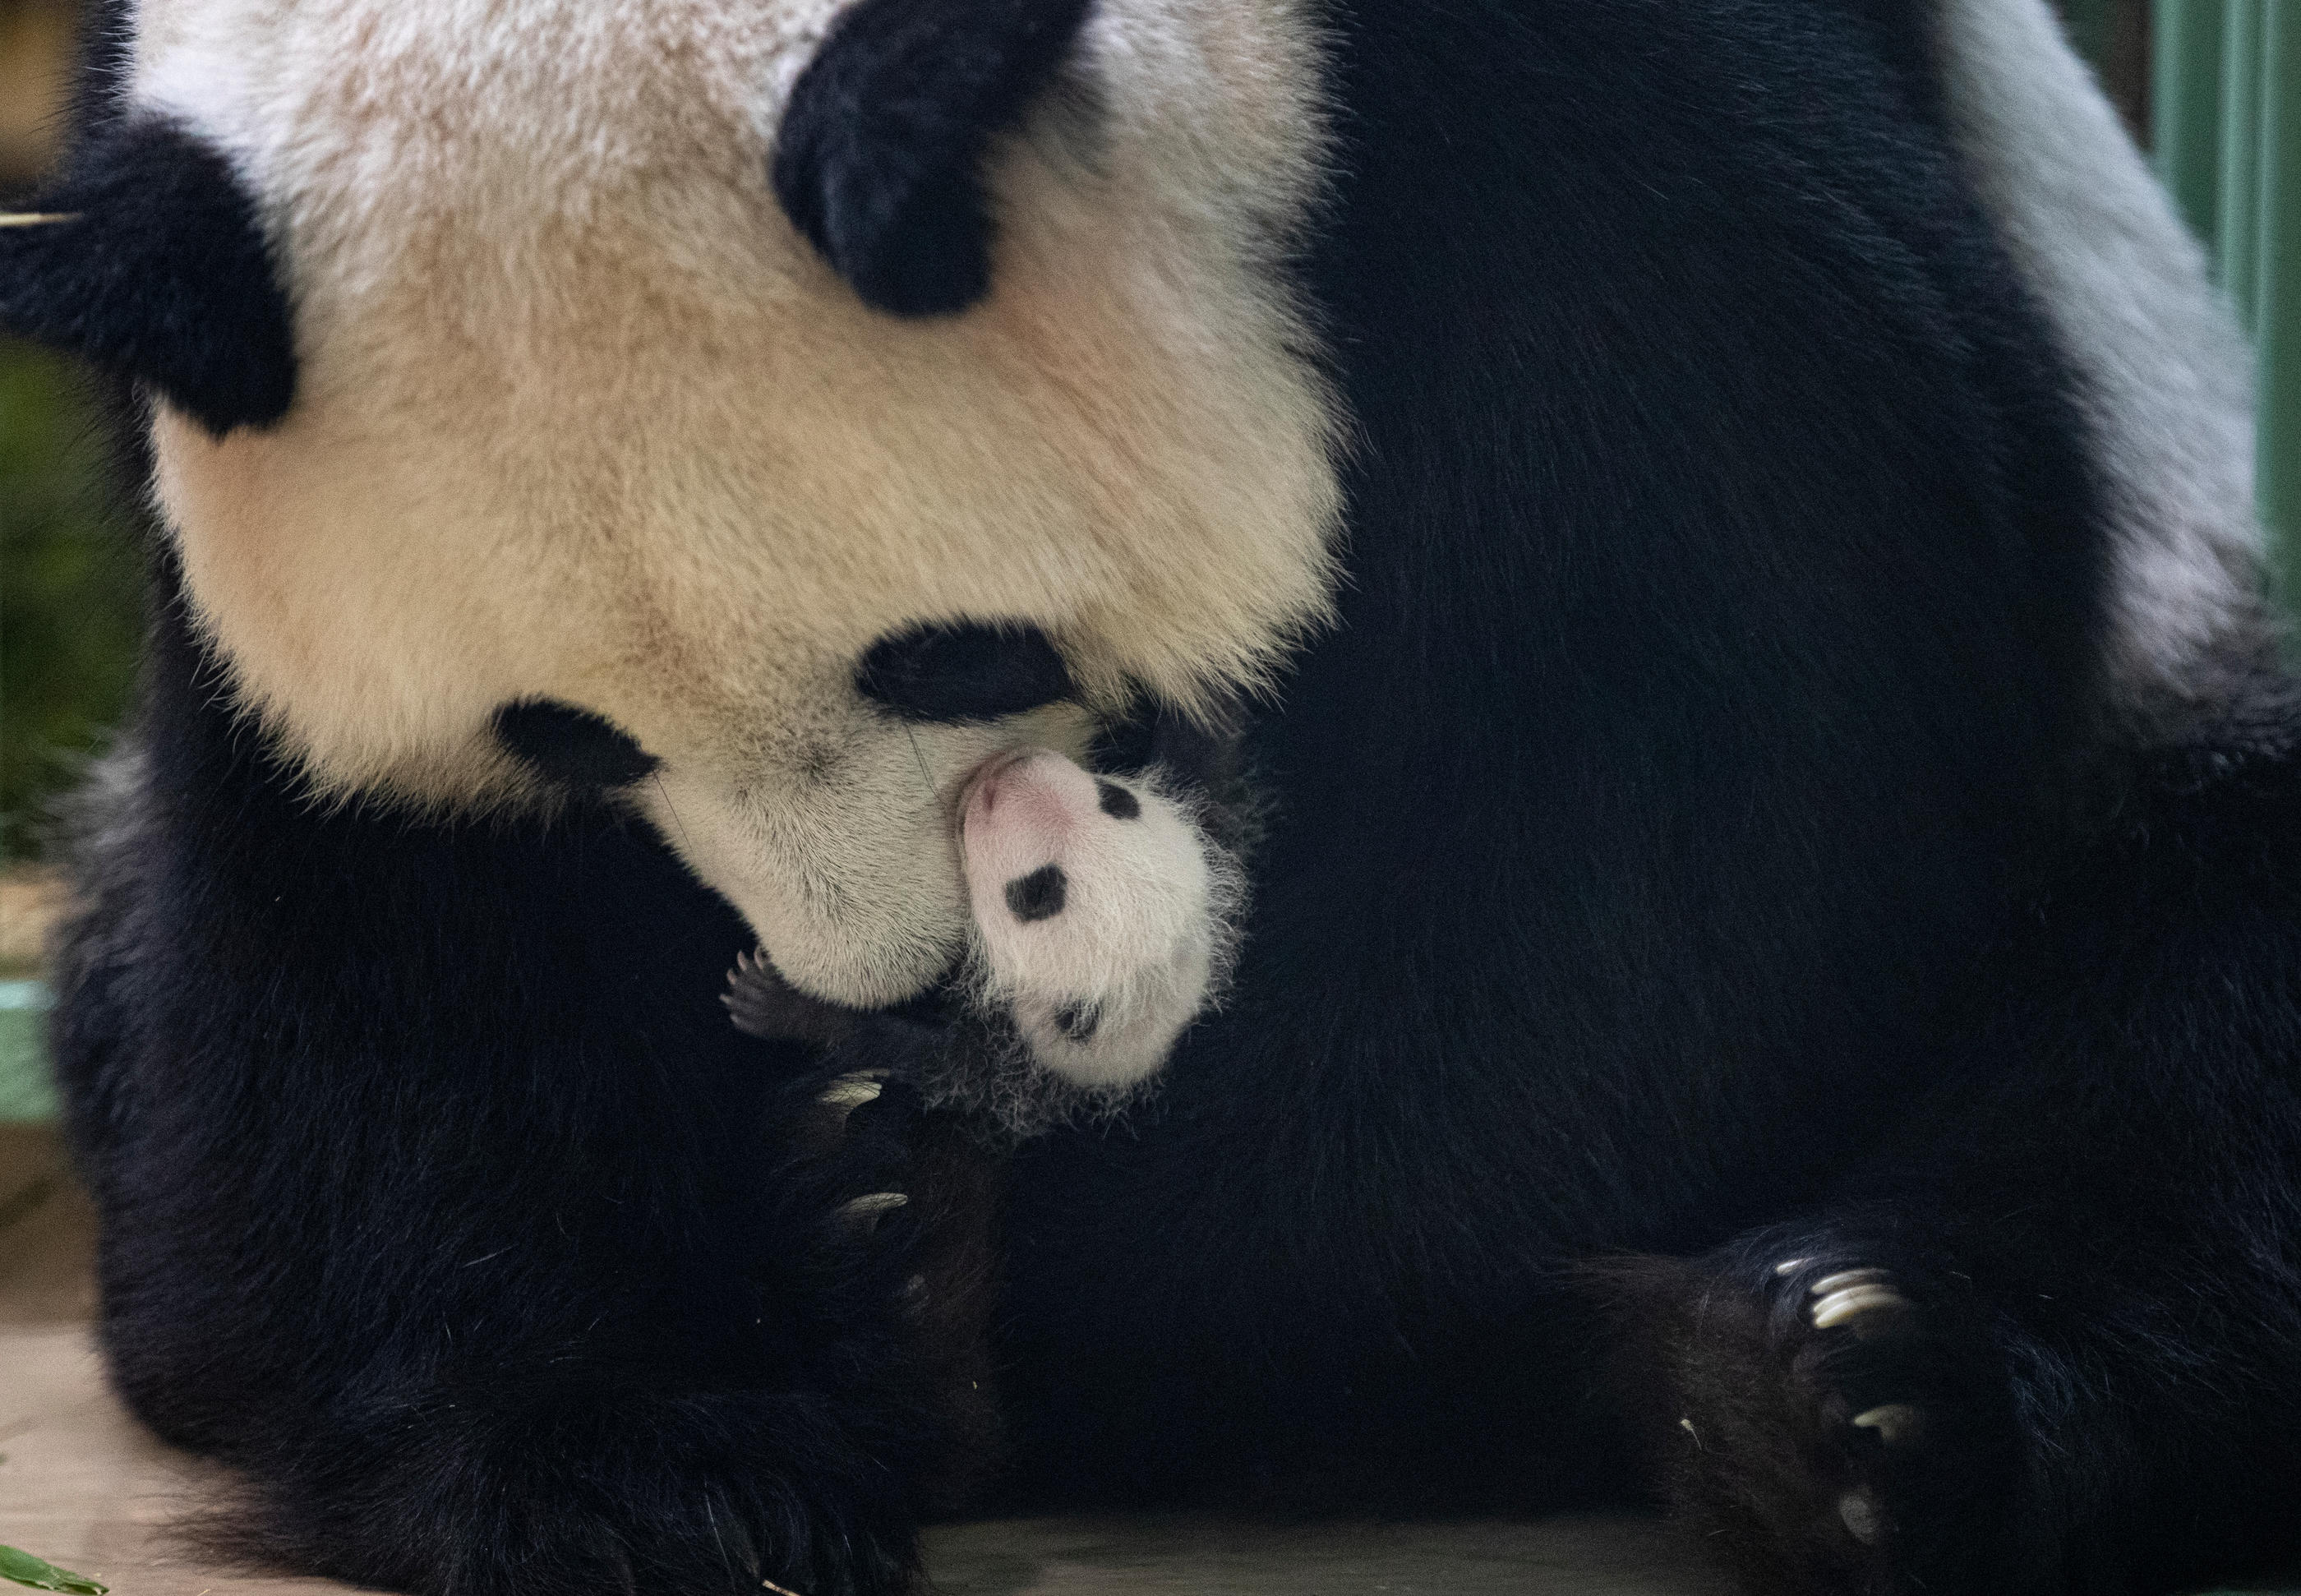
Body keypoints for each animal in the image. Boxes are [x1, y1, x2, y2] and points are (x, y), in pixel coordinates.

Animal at [4, 0, 2301, 1591]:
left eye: (952, 652)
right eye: (566, 738)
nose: (882, 981)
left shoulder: (1594, 160)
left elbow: (1690, 776)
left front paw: (1025, 1278)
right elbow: (368, 917)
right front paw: (656, 1455)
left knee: (2194, 1021)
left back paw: (1838, 1393)